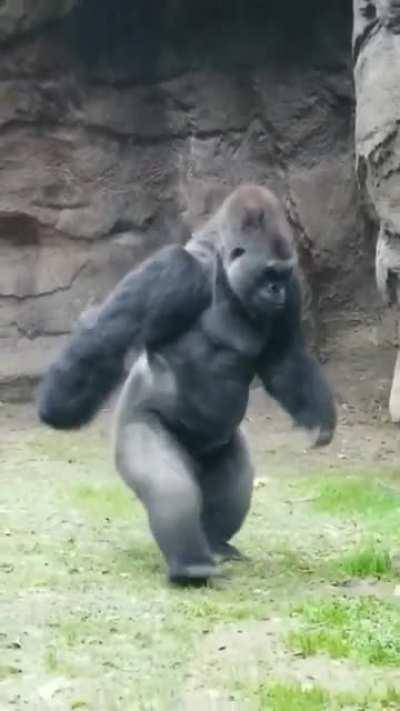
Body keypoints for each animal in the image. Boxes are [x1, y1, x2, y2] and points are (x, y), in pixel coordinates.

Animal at [38, 184, 337, 585]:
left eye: (282, 273)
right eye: (267, 273)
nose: (276, 291)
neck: (221, 271)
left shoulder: (293, 291)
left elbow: (283, 358)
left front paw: (319, 417)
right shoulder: (173, 269)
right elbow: (105, 336)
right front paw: (57, 409)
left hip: (220, 444)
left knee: (234, 481)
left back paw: (216, 544)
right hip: (136, 422)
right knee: (170, 484)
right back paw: (192, 565)